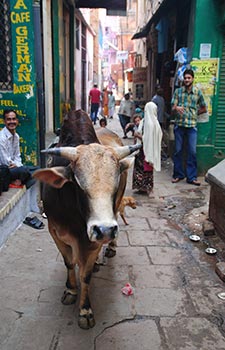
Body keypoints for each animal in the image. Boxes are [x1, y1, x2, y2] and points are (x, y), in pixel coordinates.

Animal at [33, 110, 141, 330]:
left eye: (116, 180)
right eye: (77, 182)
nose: (105, 230)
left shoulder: (93, 240)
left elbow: (86, 274)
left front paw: (85, 310)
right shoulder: (55, 231)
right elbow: (68, 263)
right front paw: (70, 290)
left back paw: (109, 249)